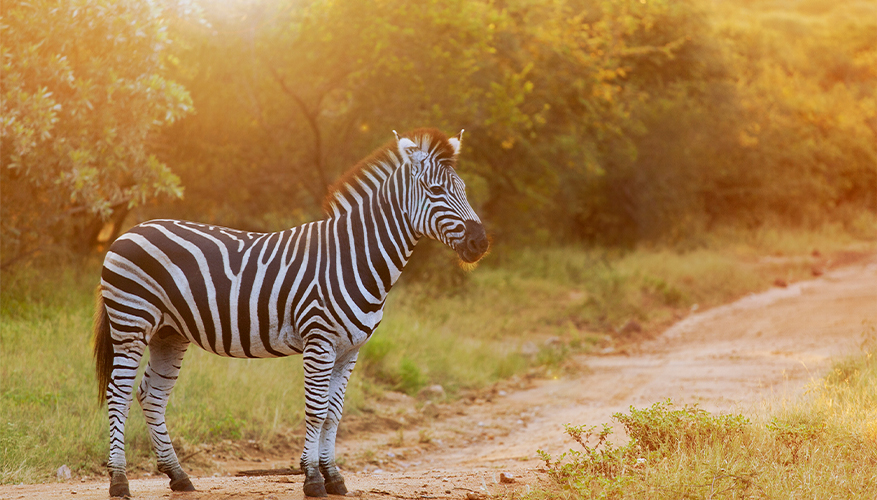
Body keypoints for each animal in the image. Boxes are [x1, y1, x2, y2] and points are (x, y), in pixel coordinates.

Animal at [92, 128, 489, 498]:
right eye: (435, 190)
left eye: (464, 189)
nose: (481, 243)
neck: (352, 258)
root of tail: (127, 233)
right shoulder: (320, 342)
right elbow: (316, 411)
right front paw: (312, 479)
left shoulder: (350, 350)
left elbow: (334, 413)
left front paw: (334, 477)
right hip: (131, 323)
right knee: (118, 393)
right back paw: (119, 481)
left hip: (169, 334)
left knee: (151, 396)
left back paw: (178, 476)